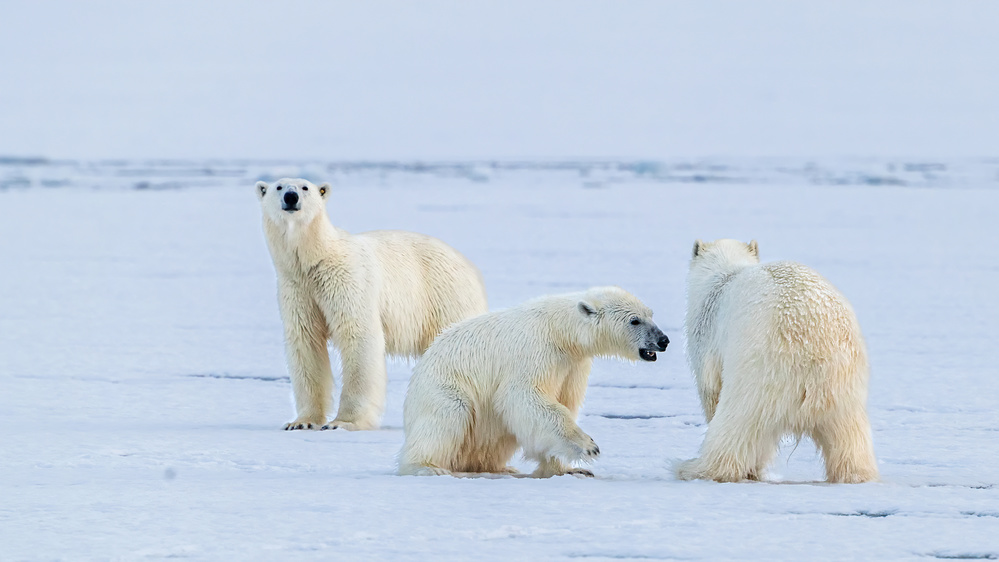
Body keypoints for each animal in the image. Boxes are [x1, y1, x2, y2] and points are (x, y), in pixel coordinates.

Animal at [258, 178, 488, 428]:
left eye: (305, 188)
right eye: (279, 187)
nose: (291, 197)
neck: (315, 260)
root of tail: (471, 267)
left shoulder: (347, 281)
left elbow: (358, 335)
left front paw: (343, 422)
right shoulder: (296, 289)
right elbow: (306, 342)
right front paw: (302, 422)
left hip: (445, 297)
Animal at [398, 286, 672, 474]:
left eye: (650, 313)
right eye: (634, 320)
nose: (663, 340)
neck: (561, 332)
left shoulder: (572, 366)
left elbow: (561, 402)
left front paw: (571, 469)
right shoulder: (535, 352)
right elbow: (525, 396)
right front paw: (588, 446)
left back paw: (500, 467)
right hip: (445, 387)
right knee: (448, 415)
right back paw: (426, 466)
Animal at [676, 237, 880, 482]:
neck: (725, 273)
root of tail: (813, 350)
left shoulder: (706, 335)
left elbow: (710, 390)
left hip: (759, 369)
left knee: (738, 422)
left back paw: (695, 468)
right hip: (844, 382)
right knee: (850, 435)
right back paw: (856, 474)